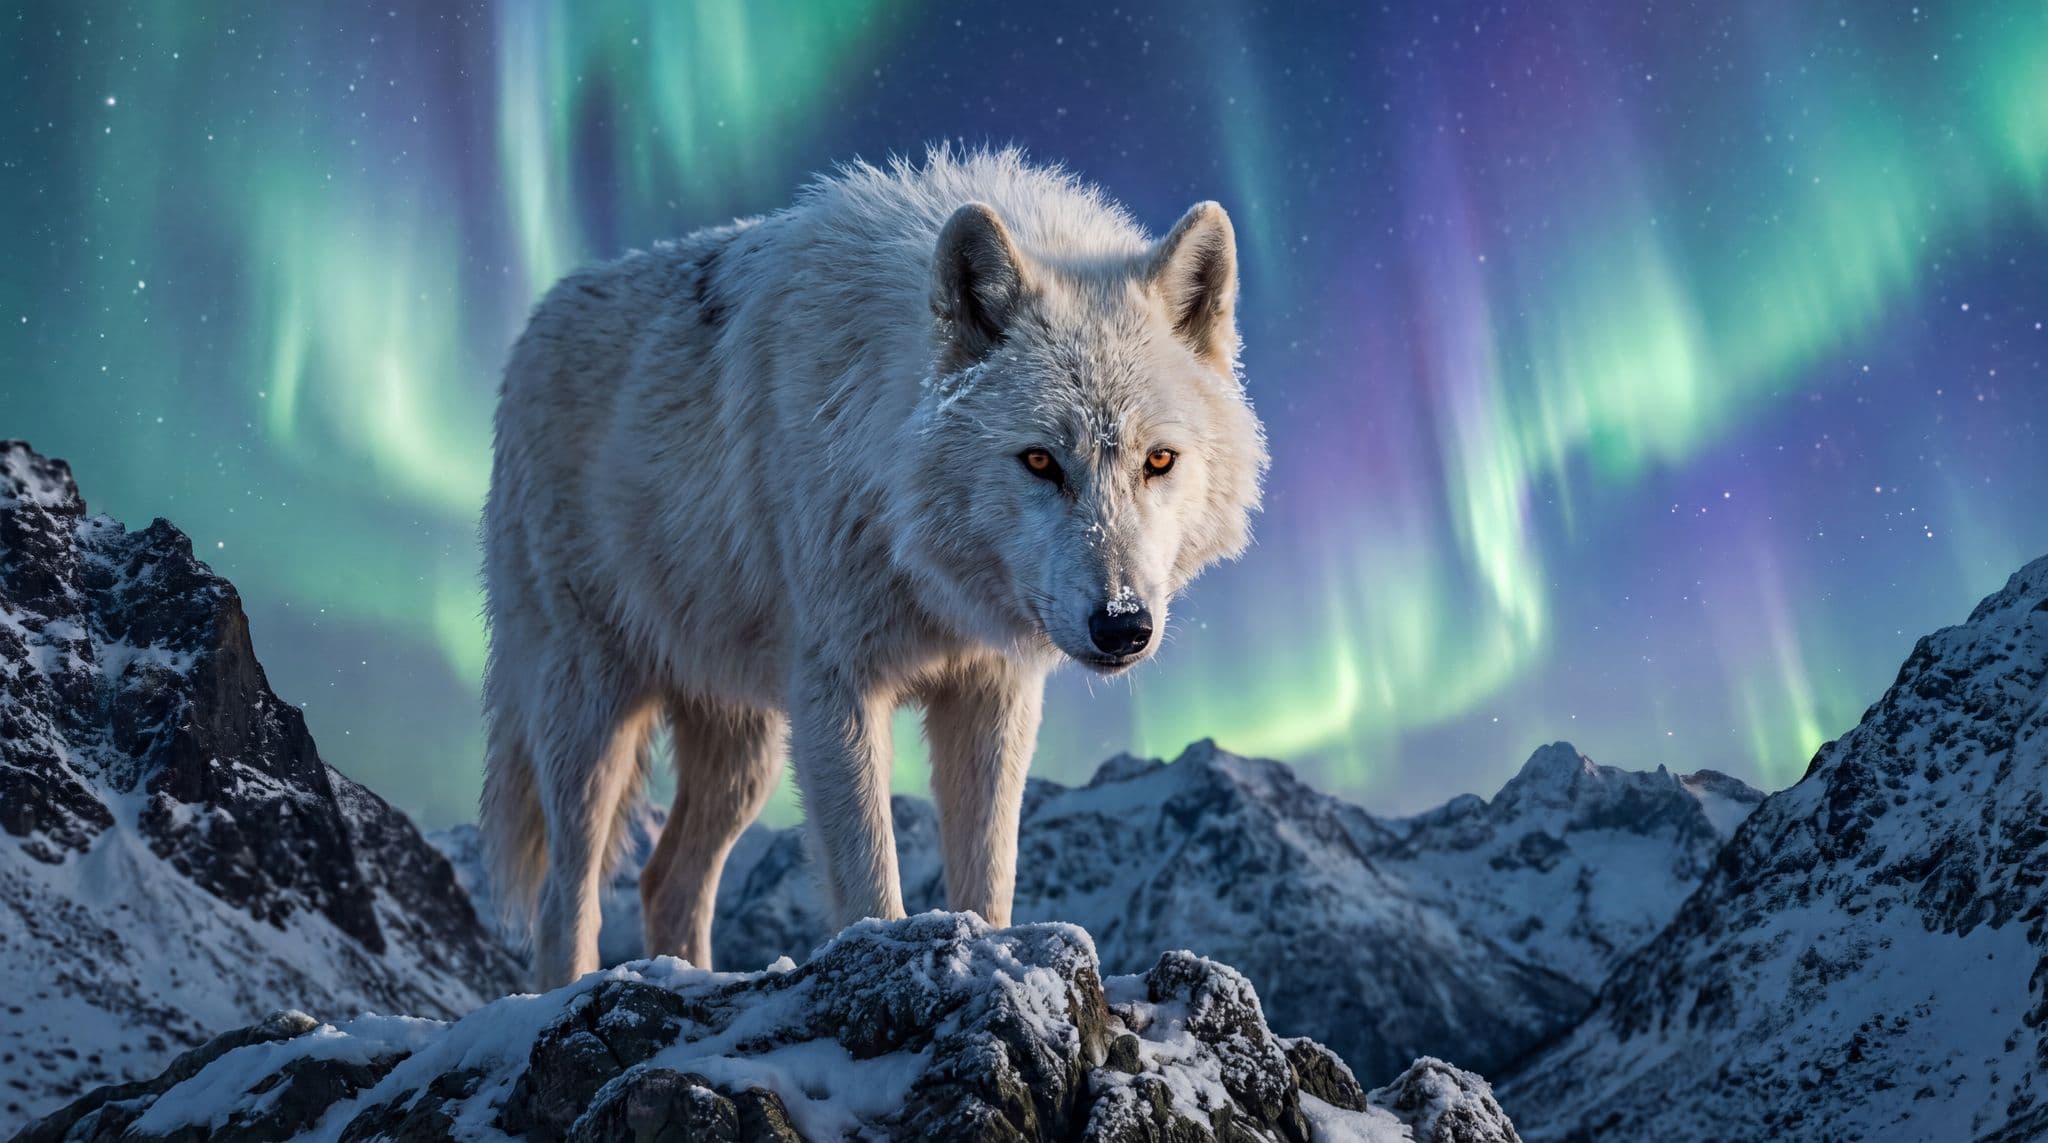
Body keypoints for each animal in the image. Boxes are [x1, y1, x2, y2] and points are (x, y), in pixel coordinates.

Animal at [480, 148, 1267, 988]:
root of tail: (533, 325)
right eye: (1039, 461)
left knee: (668, 879)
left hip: (746, 746)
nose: (1122, 625)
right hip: (593, 714)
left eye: (1159, 460)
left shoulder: (994, 690)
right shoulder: (837, 691)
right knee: (568, 894)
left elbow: (989, 880)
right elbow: (869, 884)